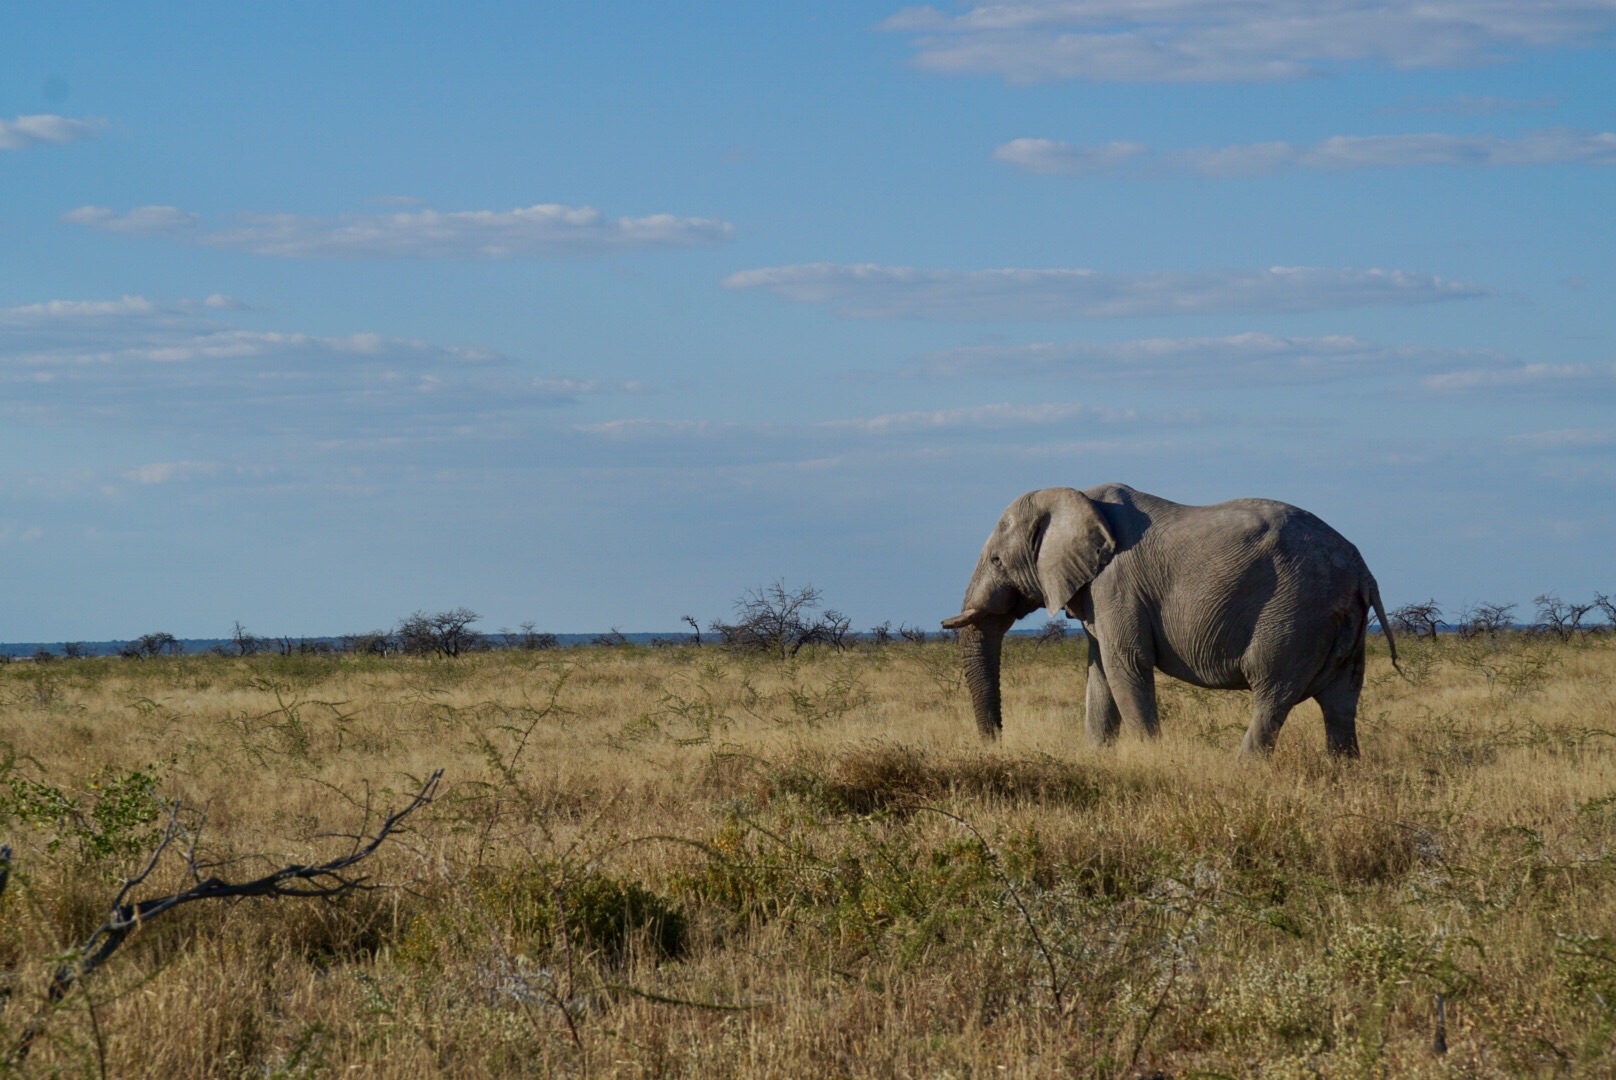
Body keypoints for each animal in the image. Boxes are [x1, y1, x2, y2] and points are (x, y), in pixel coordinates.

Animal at [943, 485, 1396, 756]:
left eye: (997, 561)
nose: (994, 745)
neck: (1077, 497)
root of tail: (1363, 569)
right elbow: (1099, 674)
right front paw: (1098, 757)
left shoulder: (1117, 585)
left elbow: (1126, 666)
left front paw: (1150, 758)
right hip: (1340, 621)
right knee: (1340, 703)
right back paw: (1342, 774)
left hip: (1295, 615)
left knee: (1273, 693)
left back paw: (1240, 769)